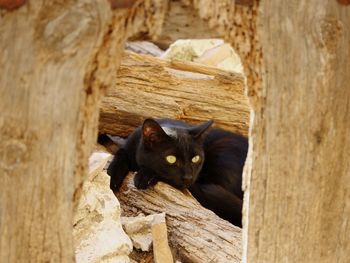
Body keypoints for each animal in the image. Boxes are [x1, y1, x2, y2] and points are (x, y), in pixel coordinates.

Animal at [108, 119, 247, 227]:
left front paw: (143, 176)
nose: (188, 177)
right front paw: (111, 178)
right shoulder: (128, 146)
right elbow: (121, 154)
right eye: (171, 159)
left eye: (195, 158)